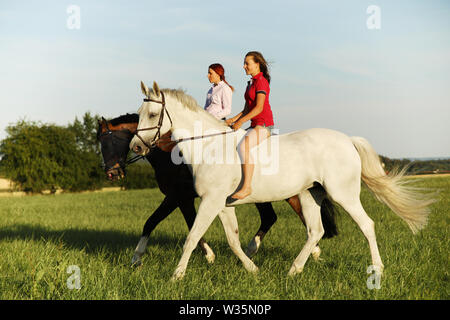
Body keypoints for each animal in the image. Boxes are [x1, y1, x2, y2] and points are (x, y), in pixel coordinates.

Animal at [98, 114, 338, 266]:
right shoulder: (185, 198)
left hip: (287, 193)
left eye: (106, 142)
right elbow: (185, 224)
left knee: (294, 217)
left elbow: (153, 221)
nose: (111, 173)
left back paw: (311, 253)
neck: (168, 152)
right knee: (272, 218)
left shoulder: (177, 197)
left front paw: (136, 257)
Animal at [130, 82, 436, 280]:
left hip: (343, 194)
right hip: (310, 194)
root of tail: (347, 140)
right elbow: (233, 240)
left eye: (153, 115)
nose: (136, 147)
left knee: (366, 225)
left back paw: (377, 269)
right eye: (139, 115)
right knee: (315, 231)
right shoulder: (222, 204)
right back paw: (294, 270)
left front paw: (176, 276)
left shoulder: (210, 201)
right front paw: (253, 269)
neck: (208, 145)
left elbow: (192, 237)